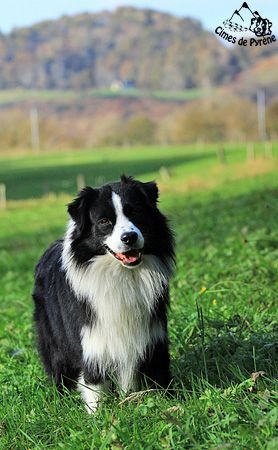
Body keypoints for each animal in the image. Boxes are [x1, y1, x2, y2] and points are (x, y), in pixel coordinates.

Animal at [33, 175, 174, 412]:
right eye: (104, 221)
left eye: (136, 211)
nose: (129, 237)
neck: (122, 275)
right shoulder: (91, 341)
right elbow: (94, 384)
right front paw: (98, 416)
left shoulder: (152, 336)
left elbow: (155, 373)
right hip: (52, 338)